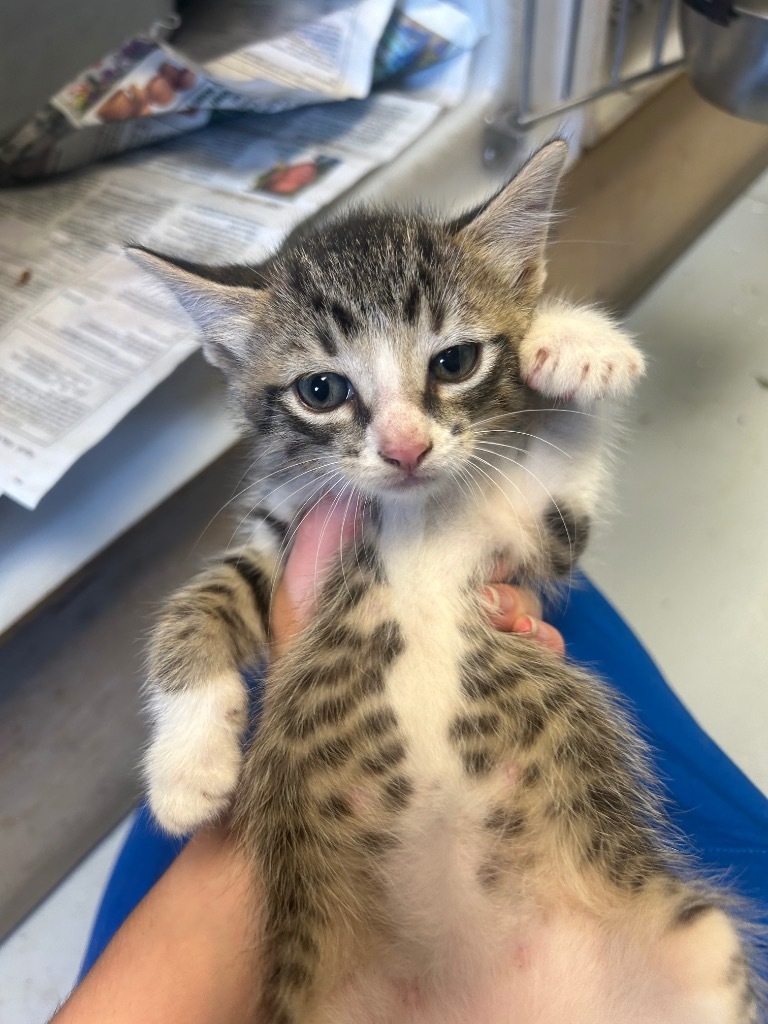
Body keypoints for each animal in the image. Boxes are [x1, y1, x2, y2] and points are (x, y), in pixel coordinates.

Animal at [129, 142, 761, 1024]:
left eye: (454, 362)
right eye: (321, 390)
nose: (404, 449)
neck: (417, 512)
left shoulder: (535, 537)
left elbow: (562, 471)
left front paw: (573, 342)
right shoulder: (286, 538)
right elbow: (195, 606)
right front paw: (186, 767)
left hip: (697, 941)